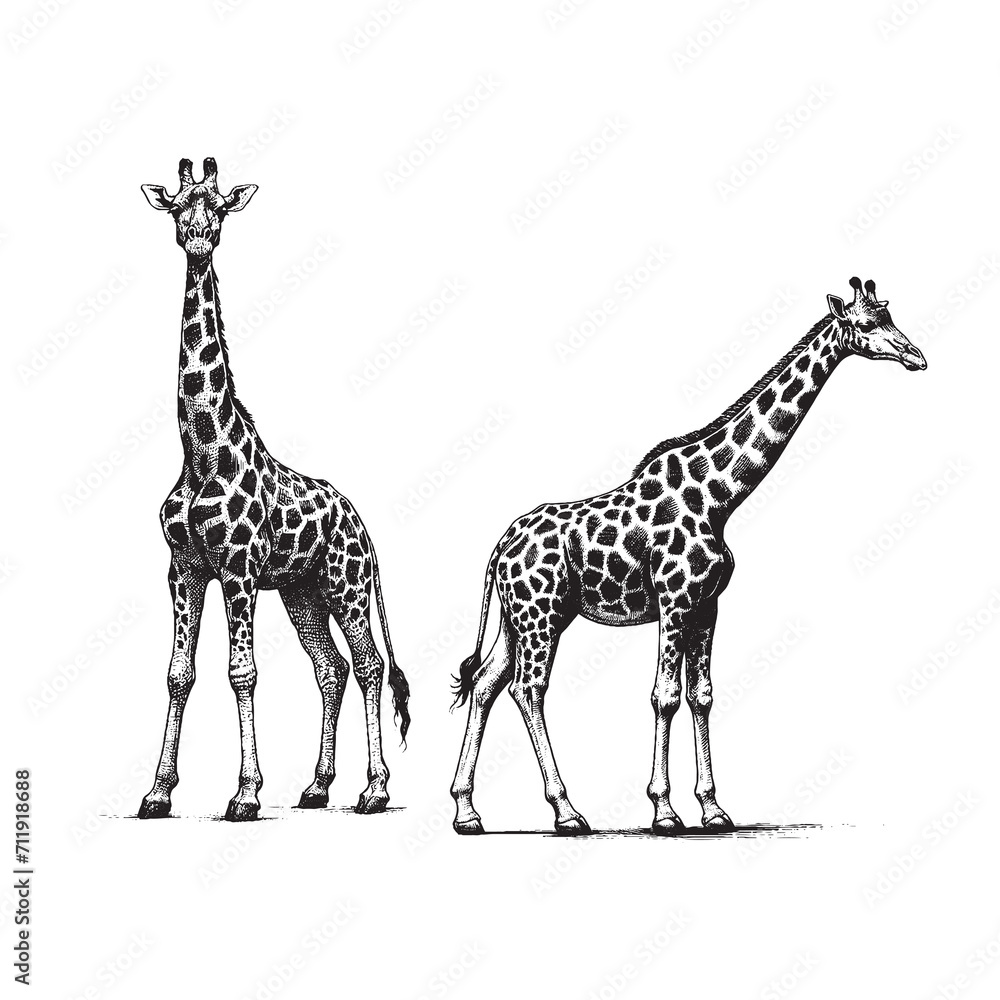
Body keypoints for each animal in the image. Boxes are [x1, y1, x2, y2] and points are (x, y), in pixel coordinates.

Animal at [137, 158, 410, 822]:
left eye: (218, 208)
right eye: (178, 206)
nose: (197, 239)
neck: (200, 451)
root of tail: (364, 526)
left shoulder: (237, 569)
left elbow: (242, 672)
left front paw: (245, 794)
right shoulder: (184, 568)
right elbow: (178, 672)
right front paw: (157, 792)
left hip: (346, 586)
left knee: (368, 663)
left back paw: (373, 790)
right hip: (301, 591)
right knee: (331, 668)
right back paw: (317, 788)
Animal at [451, 278, 926, 835]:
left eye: (890, 314)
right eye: (867, 324)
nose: (917, 357)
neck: (717, 497)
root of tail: (500, 546)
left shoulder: (707, 605)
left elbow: (702, 695)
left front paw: (713, 809)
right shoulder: (674, 601)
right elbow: (665, 695)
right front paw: (663, 810)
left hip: (523, 616)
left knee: (486, 683)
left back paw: (466, 811)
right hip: (540, 614)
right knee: (528, 688)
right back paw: (566, 811)